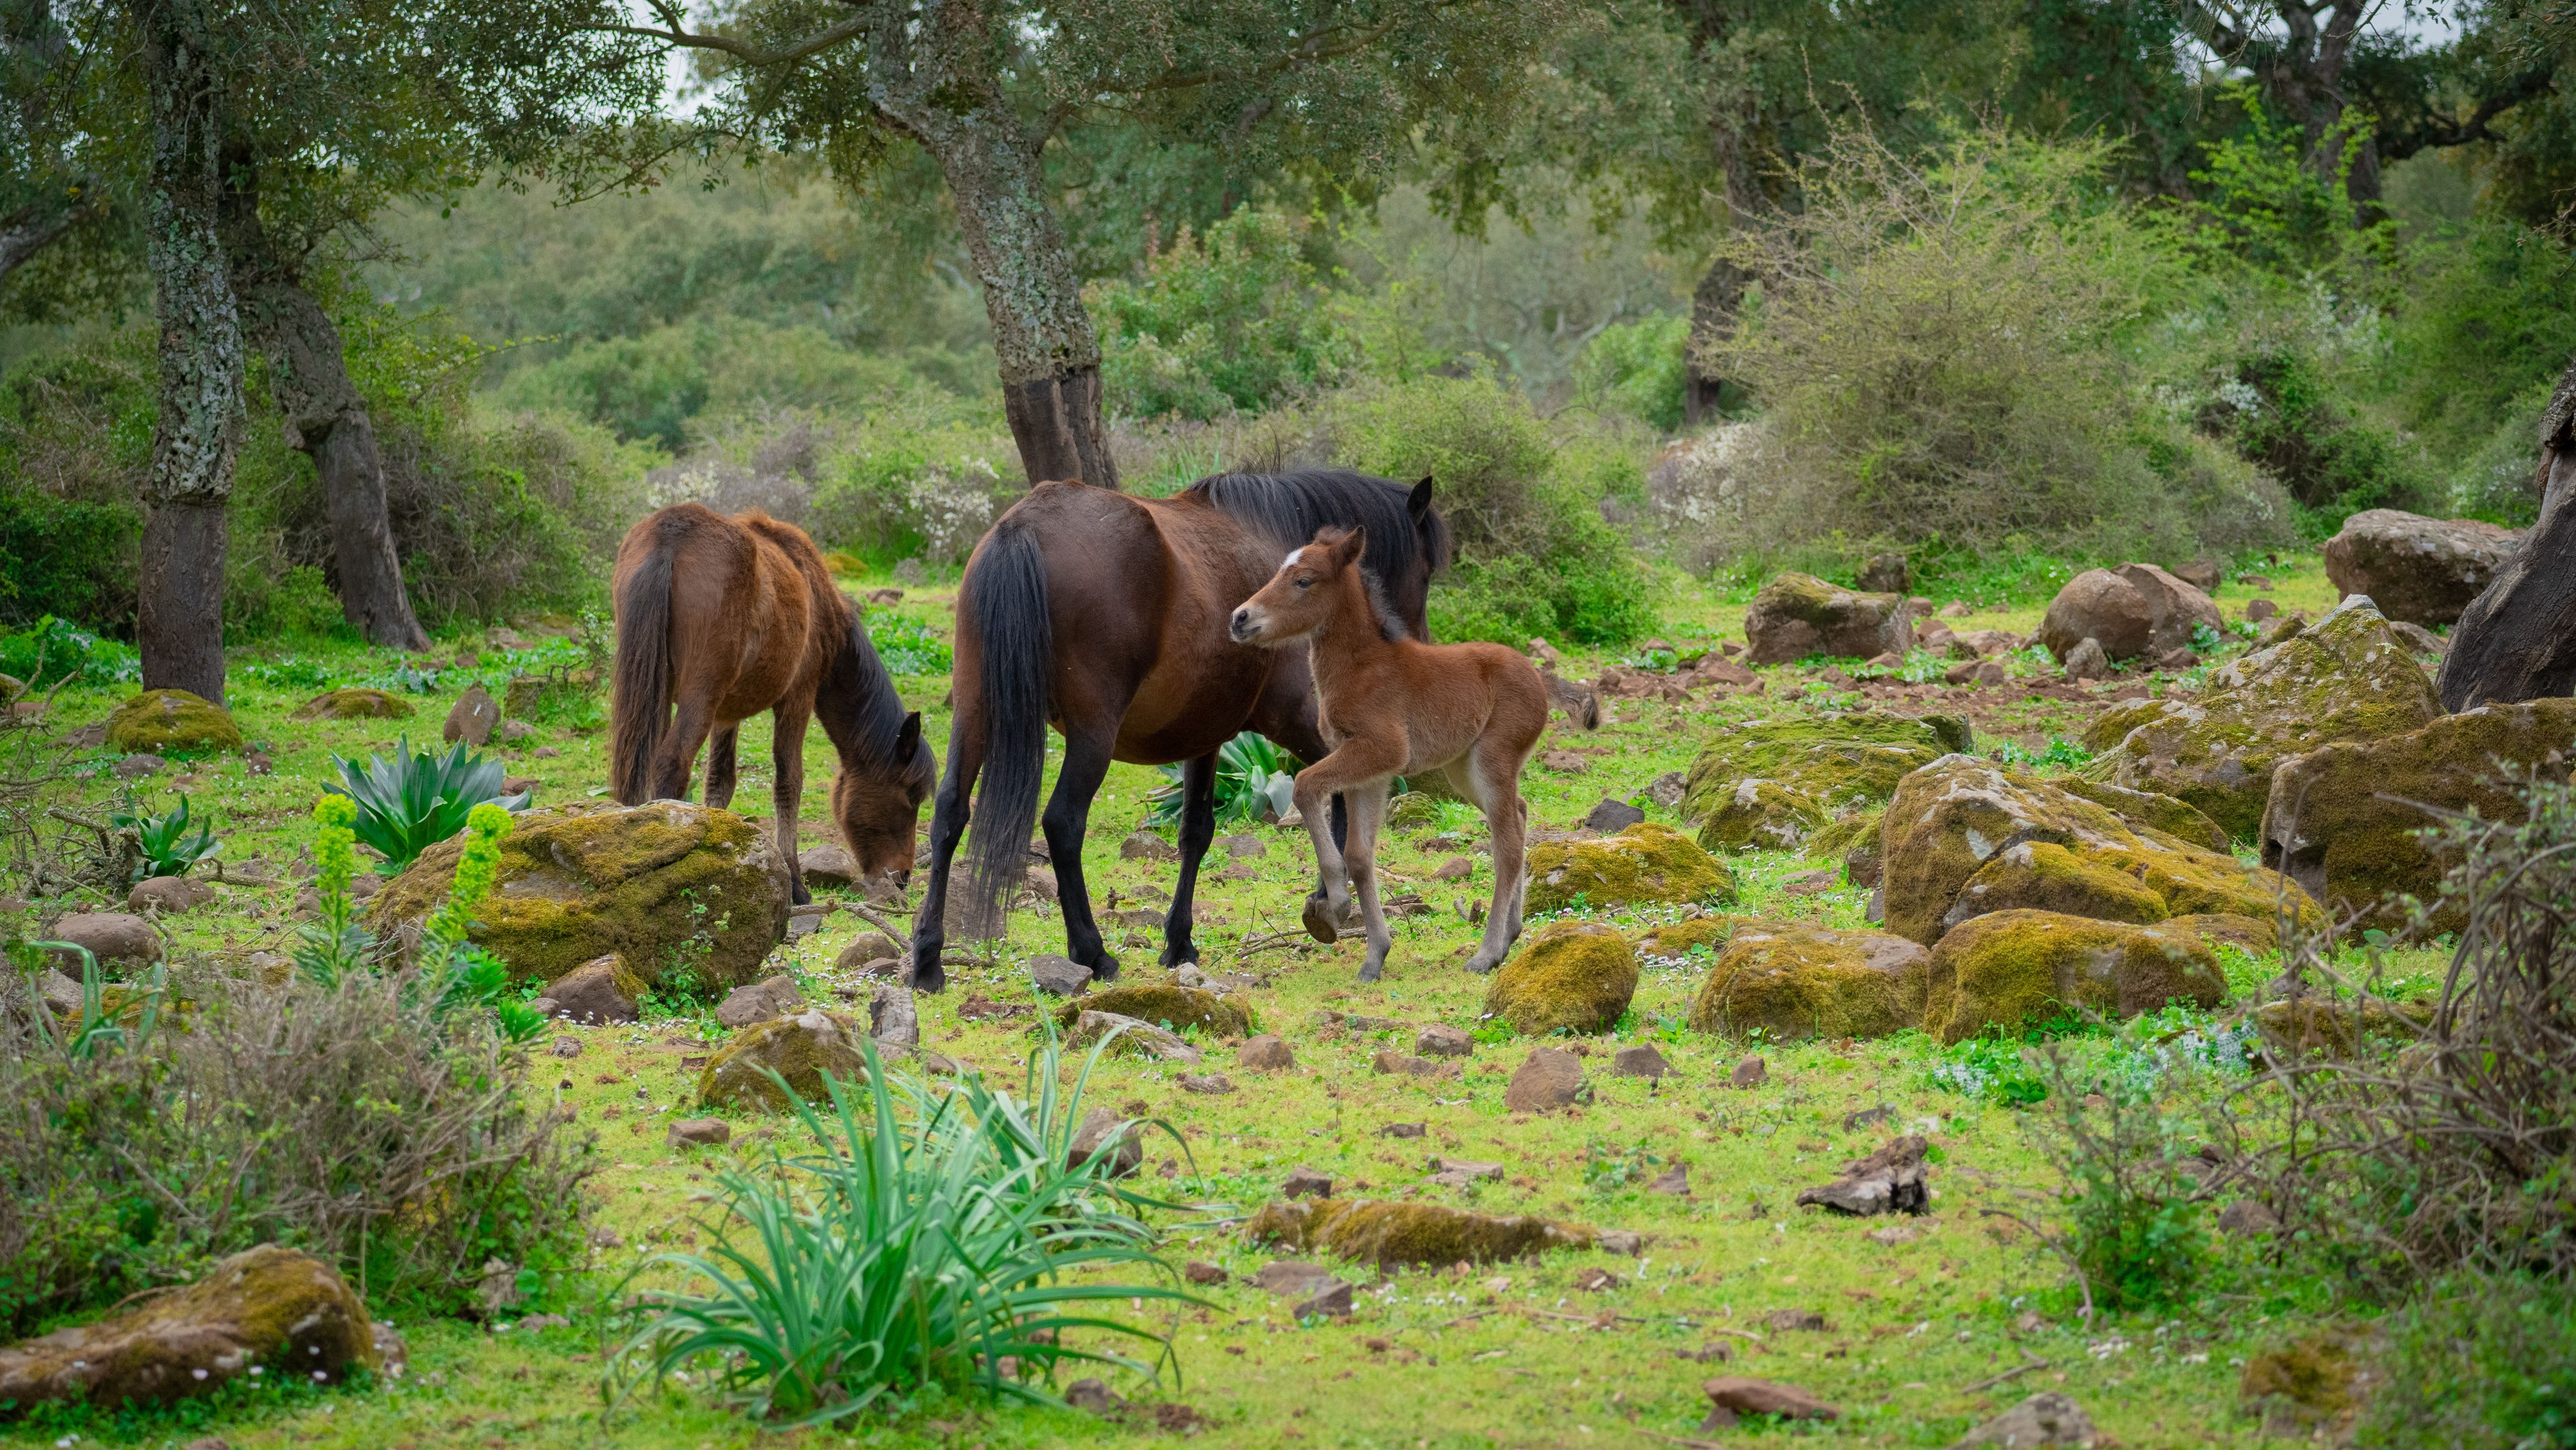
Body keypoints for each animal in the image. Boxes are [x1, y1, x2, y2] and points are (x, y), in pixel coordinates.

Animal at [608, 504, 936, 904]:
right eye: (911, 797)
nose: (903, 876)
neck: (817, 598)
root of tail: (671, 536)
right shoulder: (798, 698)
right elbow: (788, 782)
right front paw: (795, 882)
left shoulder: (726, 714)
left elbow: (720, 782)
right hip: (698, 695)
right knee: (672, 762)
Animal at [907, 471, 1451, 993]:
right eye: (1425, 573)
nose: (1417, 648)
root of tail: (1025, 524)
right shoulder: (1298, 720)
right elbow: (1328, 799)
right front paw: (1325, 902)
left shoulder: (1204, 738)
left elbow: (1195, 832)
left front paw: (1179, 941)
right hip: (1092, 734)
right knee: (1063, 823)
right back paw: (1093, 952)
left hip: (974, 711)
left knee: (950, 813)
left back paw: (928, 959)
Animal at [1230, 524, 1566, 980]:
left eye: (1303, 581)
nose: (1240, 618)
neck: (1361, 668)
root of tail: (1538, 678)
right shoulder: (1369, 772)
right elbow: (1359, 856)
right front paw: (1375, 955)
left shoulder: (1381, 750)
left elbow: (1303, 786)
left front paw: (1335, 903)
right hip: (1464, 771)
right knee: (1520, 811)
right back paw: (1511, 933)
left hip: (1492, 760)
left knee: (1509, 846)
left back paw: (1487, 953)